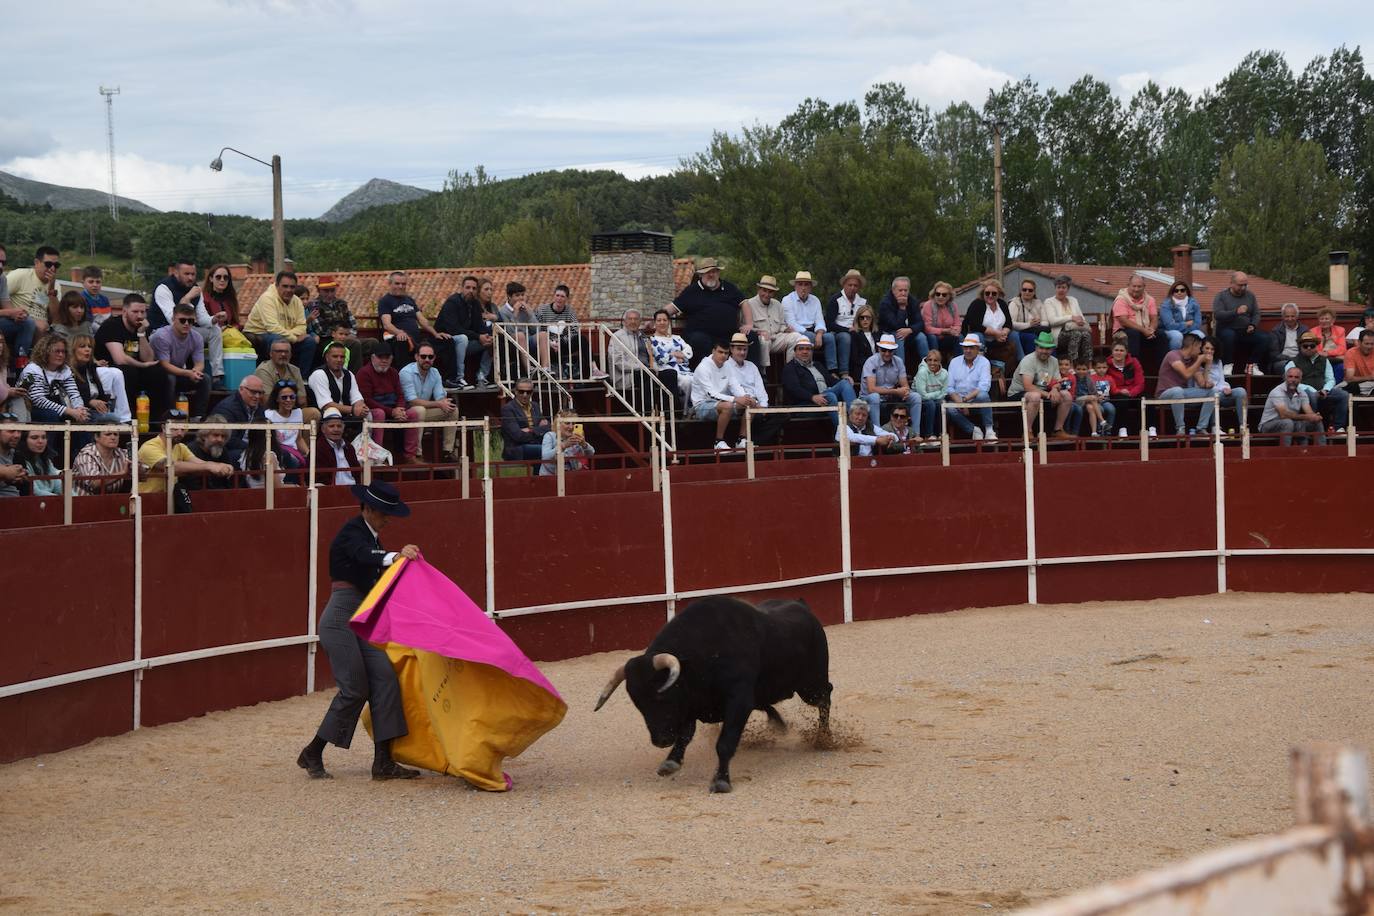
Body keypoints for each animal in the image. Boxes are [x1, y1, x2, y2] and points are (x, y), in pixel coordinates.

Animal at [588, 598, 824, 791]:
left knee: (825, 696)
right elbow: (684, 736)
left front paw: (721, 781)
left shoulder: (738, 702)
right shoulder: (691, 705)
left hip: (811, 686)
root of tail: (803, 606)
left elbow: (725, 742)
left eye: (661, 697)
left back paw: (823, 738)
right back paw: (780, 723)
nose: (660, 740)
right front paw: (670, 762)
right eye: (639, 705)